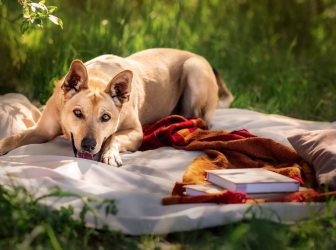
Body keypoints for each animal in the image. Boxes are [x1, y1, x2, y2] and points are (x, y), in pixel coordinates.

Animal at [0, 48, 232, 166]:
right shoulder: (42, 130)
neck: (97, 79)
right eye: (77, 113)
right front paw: (3, 145)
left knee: (200, 120)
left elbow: (114, 137)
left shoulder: (136, 132)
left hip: (194, 71)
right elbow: (15, 137)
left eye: (106, 117)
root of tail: (197, 55)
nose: (89, 146)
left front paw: (110, 154)